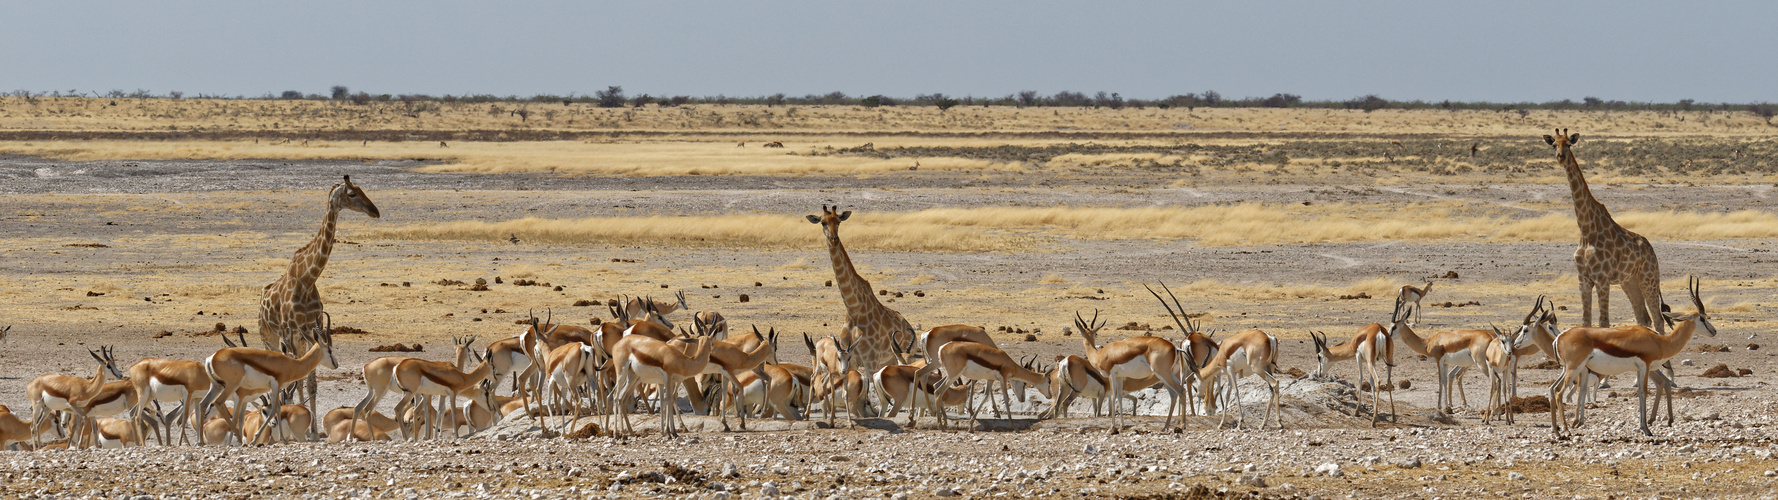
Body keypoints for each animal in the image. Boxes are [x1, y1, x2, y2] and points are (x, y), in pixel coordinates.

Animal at [257, 174, 378, 435]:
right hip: (269, 335)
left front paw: (313, 428)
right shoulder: (289, 331)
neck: (307, 278)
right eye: (352, 193)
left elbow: (311, 382)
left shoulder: (313, 327)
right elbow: (299, 378)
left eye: (362, 188)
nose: (375, 211)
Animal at [810, 204, 917, 414]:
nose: (833, 239)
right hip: (889, 360)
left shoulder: (870, 361)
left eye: (839, 221)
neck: (854, 309)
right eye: (823, 222)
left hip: (901, 357)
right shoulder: (849, 358)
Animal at [1543, 128, 1664, 332]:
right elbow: (1586, 322)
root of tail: (1651, 249)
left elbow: (1603, 323)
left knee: (1658, 319)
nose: (1560, 157)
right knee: (1643, 317)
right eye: (1554, 144)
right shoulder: (1583, 279)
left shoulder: (1602, 279)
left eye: (1569, 144)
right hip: (1629, 282)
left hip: (1648, 277)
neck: (1586, 230)